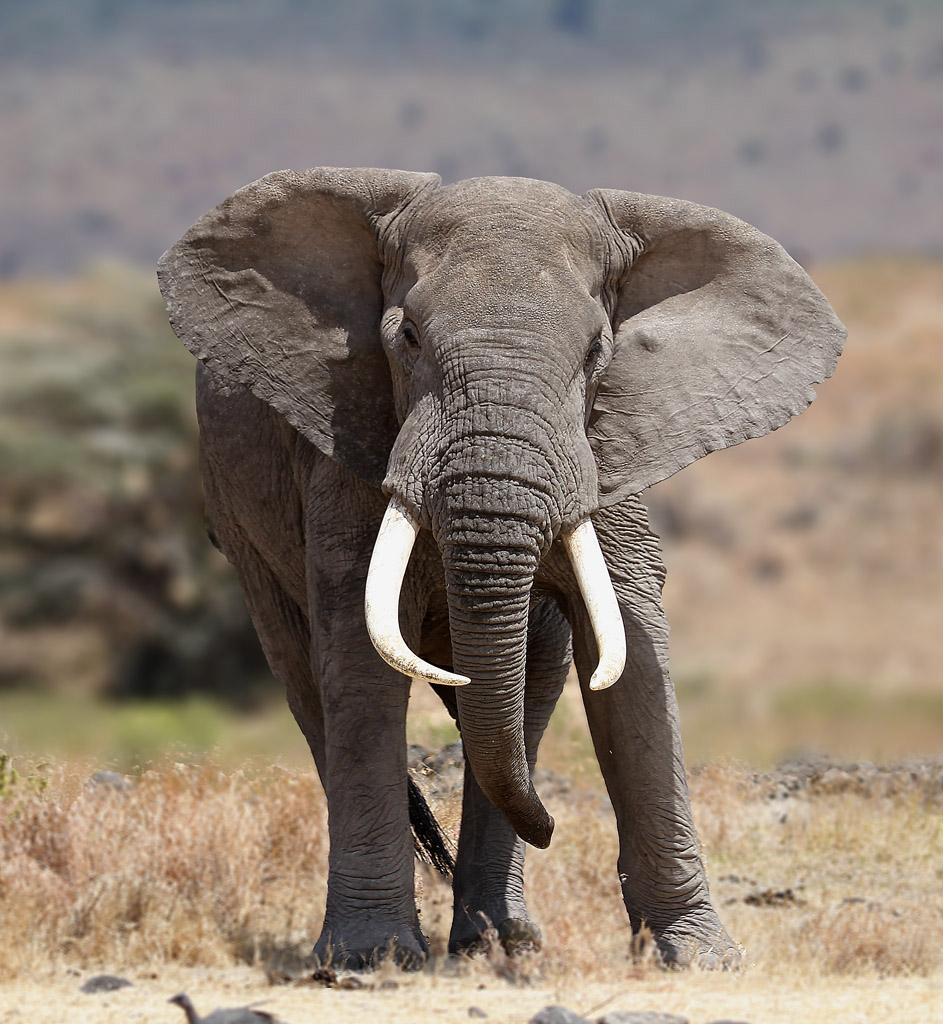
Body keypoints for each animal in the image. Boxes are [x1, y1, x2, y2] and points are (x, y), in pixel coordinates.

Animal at [157, 168, 845, 971]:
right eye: (406, 338)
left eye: (597, 351)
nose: (551, 828)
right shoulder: (346, 441)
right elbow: (359, 655)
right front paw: (367, 963)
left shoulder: (607, 447)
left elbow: (630, 643)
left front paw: (700, 960)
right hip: (237, 527)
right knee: (306, 678)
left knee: (529, 682)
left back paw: (500, 942)